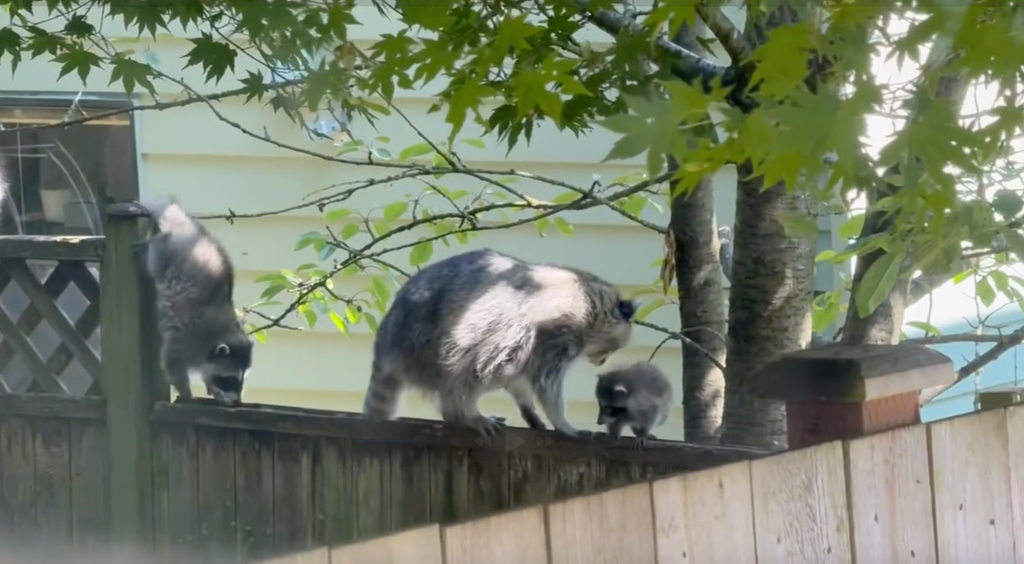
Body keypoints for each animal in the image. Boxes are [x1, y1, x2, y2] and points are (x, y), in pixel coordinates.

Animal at [134, 198, 253, 406]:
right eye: (229, 379)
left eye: (241, 381)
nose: (237, 401)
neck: (220, 335)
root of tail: (187, 229)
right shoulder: (187, 338)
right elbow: (172, 365)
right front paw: (187, 394)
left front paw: (213, 389)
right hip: (168, 253)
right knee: (155, 257)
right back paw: (149, 247)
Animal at [363, 248, 637, 438]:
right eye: (613, 349)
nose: (602, 360)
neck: (593, 299)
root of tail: (386, 343)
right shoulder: (558, 332)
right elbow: (546, 383)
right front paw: (561, 421)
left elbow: (519, 379)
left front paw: (529, 407)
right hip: (427, 344)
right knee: (470, 370)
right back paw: (462, 412)